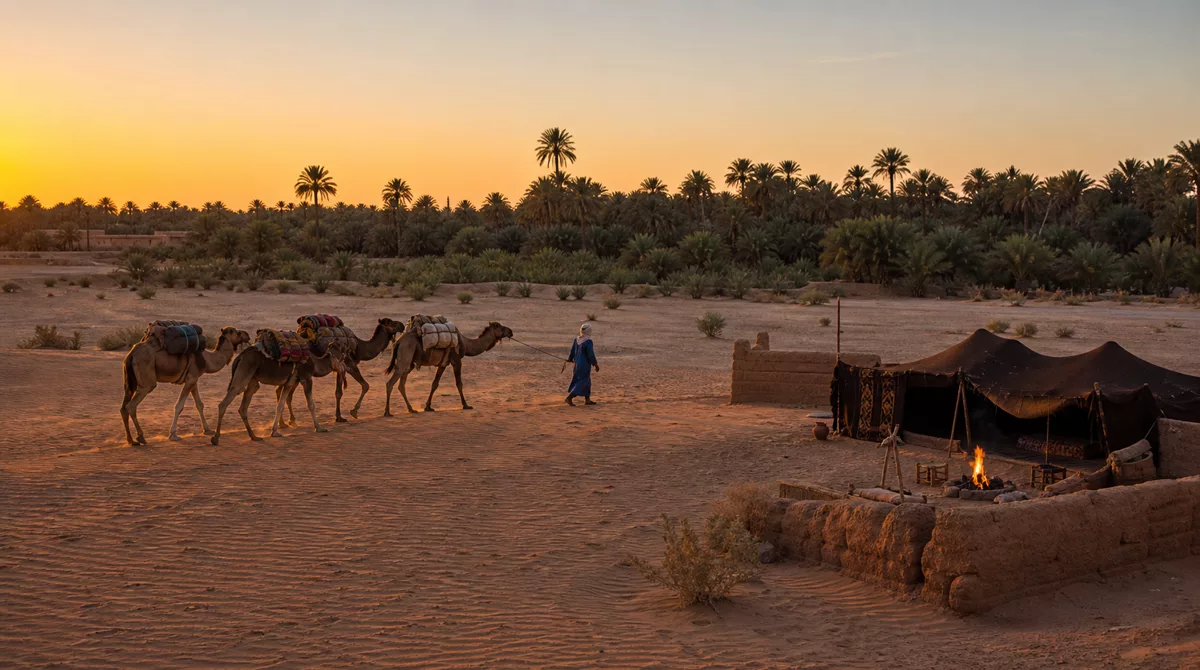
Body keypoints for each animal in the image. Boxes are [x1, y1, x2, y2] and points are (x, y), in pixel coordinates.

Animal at [120, 326, 251, 445]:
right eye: (238, 332)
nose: (248, 335)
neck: (207, 359)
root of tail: (131, 354)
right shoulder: (191, 379)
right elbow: (179, 406)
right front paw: (173, 435)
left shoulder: (194, 379)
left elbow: (199, 405)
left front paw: (207, 429)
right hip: (146, 380)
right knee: (131, 405)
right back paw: (141, 437)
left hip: (129, 381)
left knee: (123, 408)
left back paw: (131, 440)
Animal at [210, 338, 353, 445]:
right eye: (343, 349)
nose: (347, 366)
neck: (315, 363)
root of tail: (239, 357)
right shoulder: (306, 378)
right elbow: (311, 405)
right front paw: (319, 428)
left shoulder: (289, 383)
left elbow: (280, 405)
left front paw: (275, 432)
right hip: (243, 374)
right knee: (225, 403)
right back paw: (215, 438)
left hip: (251, 380)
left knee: (243, 407)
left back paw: (254, 437)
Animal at [383, 321, 513, 415]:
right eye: (499, 326)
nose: (511, 331)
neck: (465, 342)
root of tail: (398, 342)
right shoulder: (456, 360)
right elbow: (459, 383)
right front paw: (466, 405)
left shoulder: (443, 364)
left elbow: (434, 384)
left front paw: (428, 406)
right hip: (405, 355)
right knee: (390, 383)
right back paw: (387, 412)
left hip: (408, 362)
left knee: (401, 384)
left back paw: (411, 409)